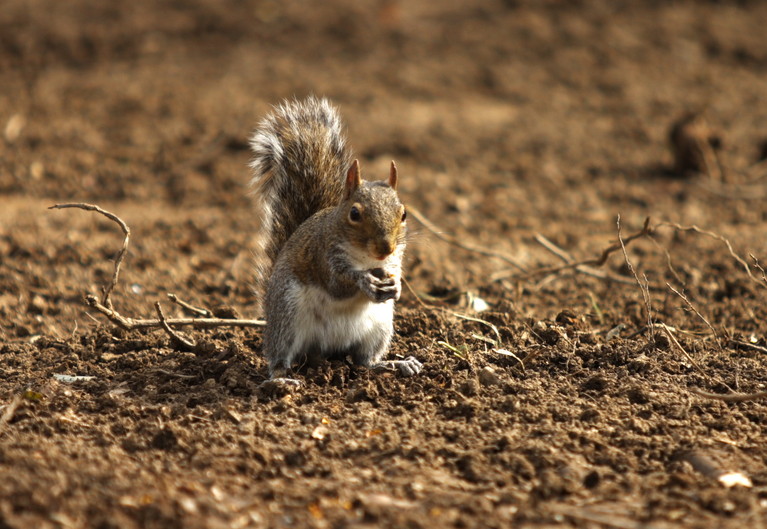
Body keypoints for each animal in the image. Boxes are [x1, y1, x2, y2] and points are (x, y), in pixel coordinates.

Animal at [249, 96, 424, 384]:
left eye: (404, 214)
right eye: (354, 213)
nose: (385, 248)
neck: (366, 258)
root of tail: (327, 348)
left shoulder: (394, 260)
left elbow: (394, 273)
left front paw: (396, 286)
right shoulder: (323, 255)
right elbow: (336, 284)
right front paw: (363, 280)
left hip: (379, 326)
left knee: (364, 361)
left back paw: (395, 364)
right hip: (287, 315)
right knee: (279, 357)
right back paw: (280, 379)